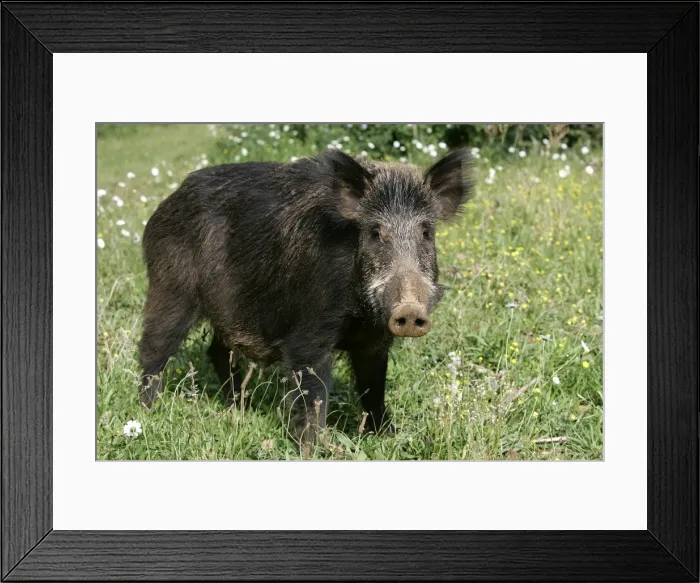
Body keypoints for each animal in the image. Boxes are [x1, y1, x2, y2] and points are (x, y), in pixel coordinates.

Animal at [137, 148, 473, 447]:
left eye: (426, 232)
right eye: (375, 233)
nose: (410, 310)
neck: (359, 314)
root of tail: (166, 203)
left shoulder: (375, 341)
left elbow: (373, 389)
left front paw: (385, 436)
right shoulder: (309, 334)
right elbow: (314, 394)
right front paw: (314, 448)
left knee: (217, 352)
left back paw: (240, 408)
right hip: (170, 289)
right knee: (154, 348)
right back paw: (148, 411)